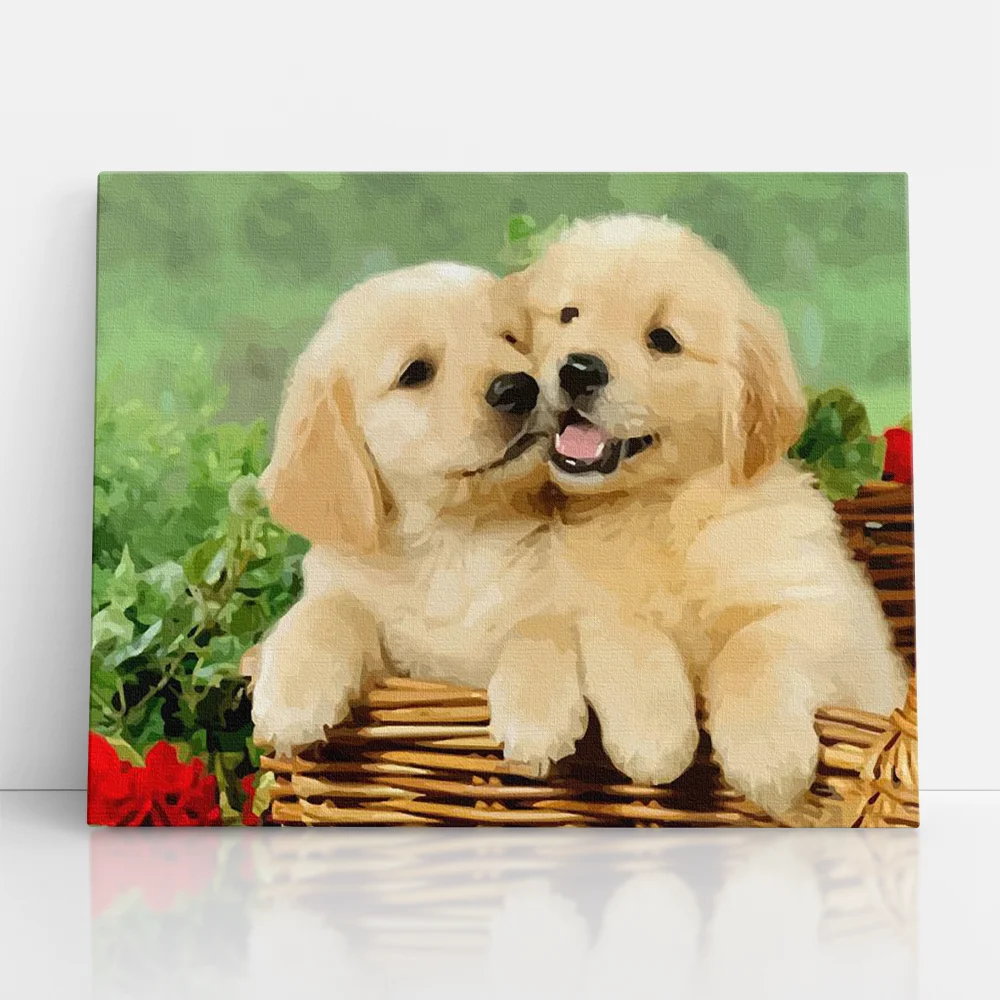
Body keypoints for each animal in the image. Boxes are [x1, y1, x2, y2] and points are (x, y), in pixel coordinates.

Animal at [251, 262, 590, 763]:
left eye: (511, 340)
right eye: (416, 373)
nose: (520, 387)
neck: (451, 538)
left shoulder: (552, 591)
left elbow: (541, 622)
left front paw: (537, 716)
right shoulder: (363, 615)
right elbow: (325, 610)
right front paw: (292, 698)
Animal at [506, 215, 908, 813]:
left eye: (663, 340)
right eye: (569, 314)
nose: (578, 369)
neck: (661, 507)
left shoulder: (828, 616)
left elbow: (752, 646)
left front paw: (767, 757)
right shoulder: (577, 593)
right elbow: (624, 626)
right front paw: (654, 738)